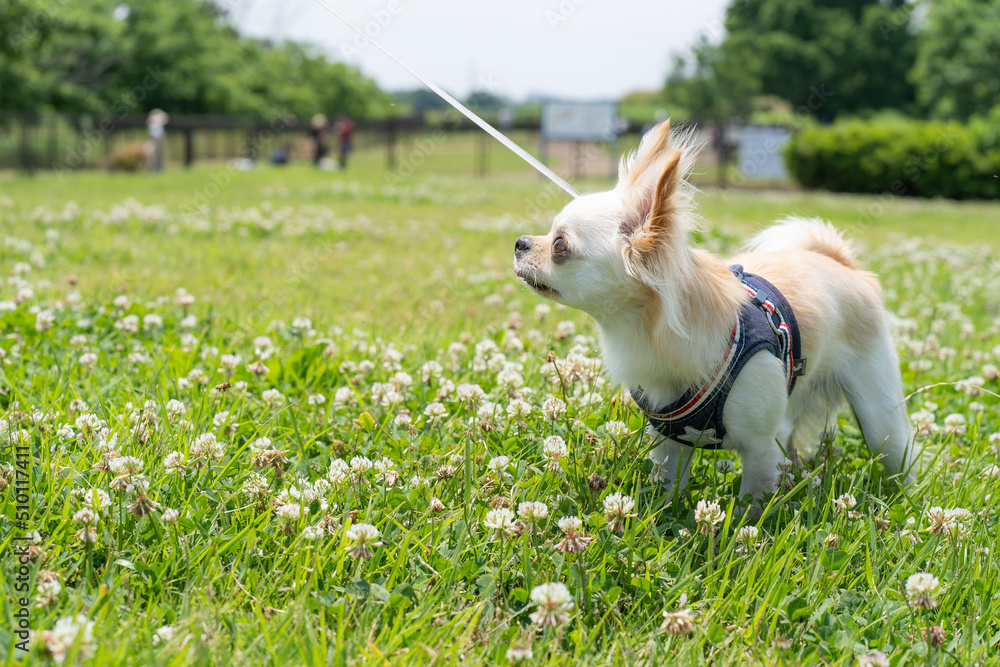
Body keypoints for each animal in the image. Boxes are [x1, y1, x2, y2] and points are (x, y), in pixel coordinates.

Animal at [516, 121, 916, 506]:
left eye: (559, 245)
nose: (520, 242)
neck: (645, 330)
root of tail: (843, 263)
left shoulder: (760, 450)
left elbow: (751, 506)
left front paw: (743, 525)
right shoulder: (670, 443)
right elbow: (667, 494)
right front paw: (665, 516)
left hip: (879, 413)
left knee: (899, 453)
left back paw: (907, 497)